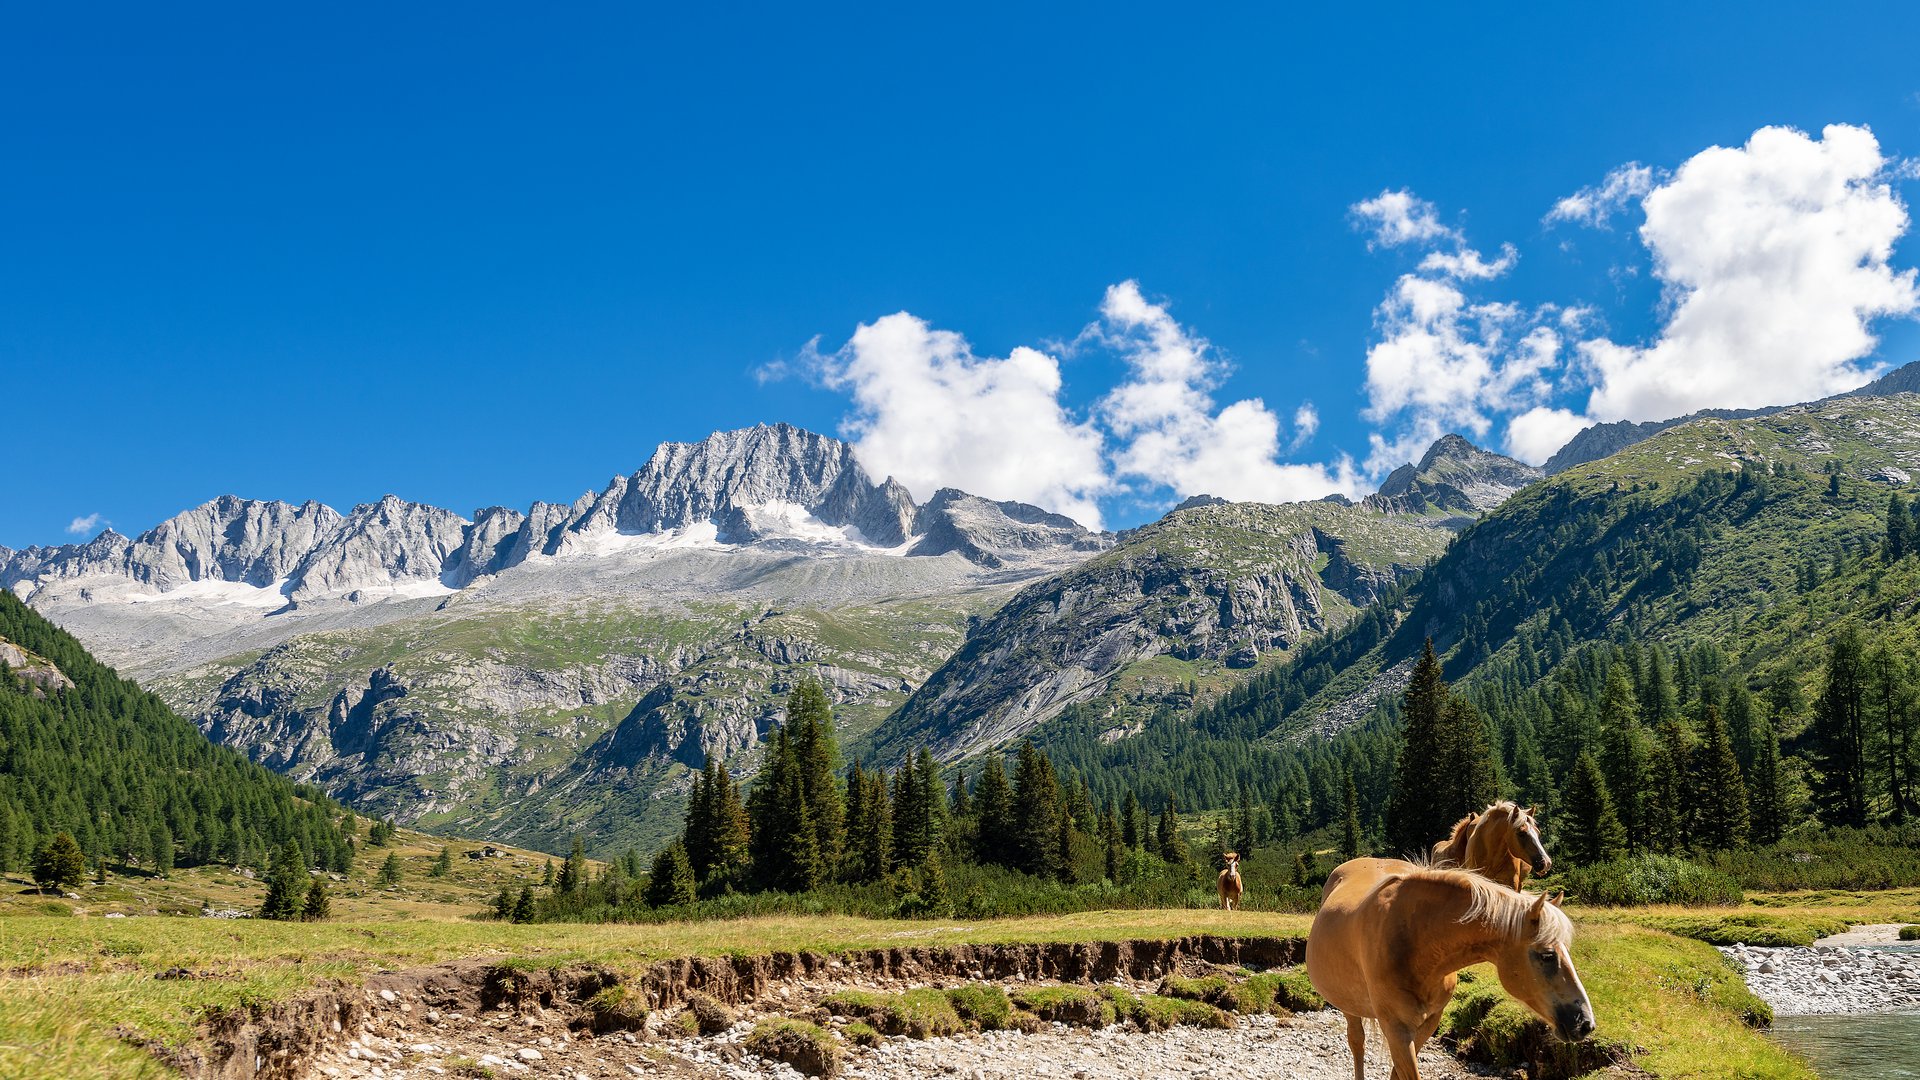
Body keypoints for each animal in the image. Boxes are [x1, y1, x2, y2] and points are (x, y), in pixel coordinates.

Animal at [1305, 857, 1589, 1076]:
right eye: (1547, 955)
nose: (1586, 1022)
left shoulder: (1429, 1022)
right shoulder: (1397, 1029)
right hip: (1348, 1005)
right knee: (1357, 1042)